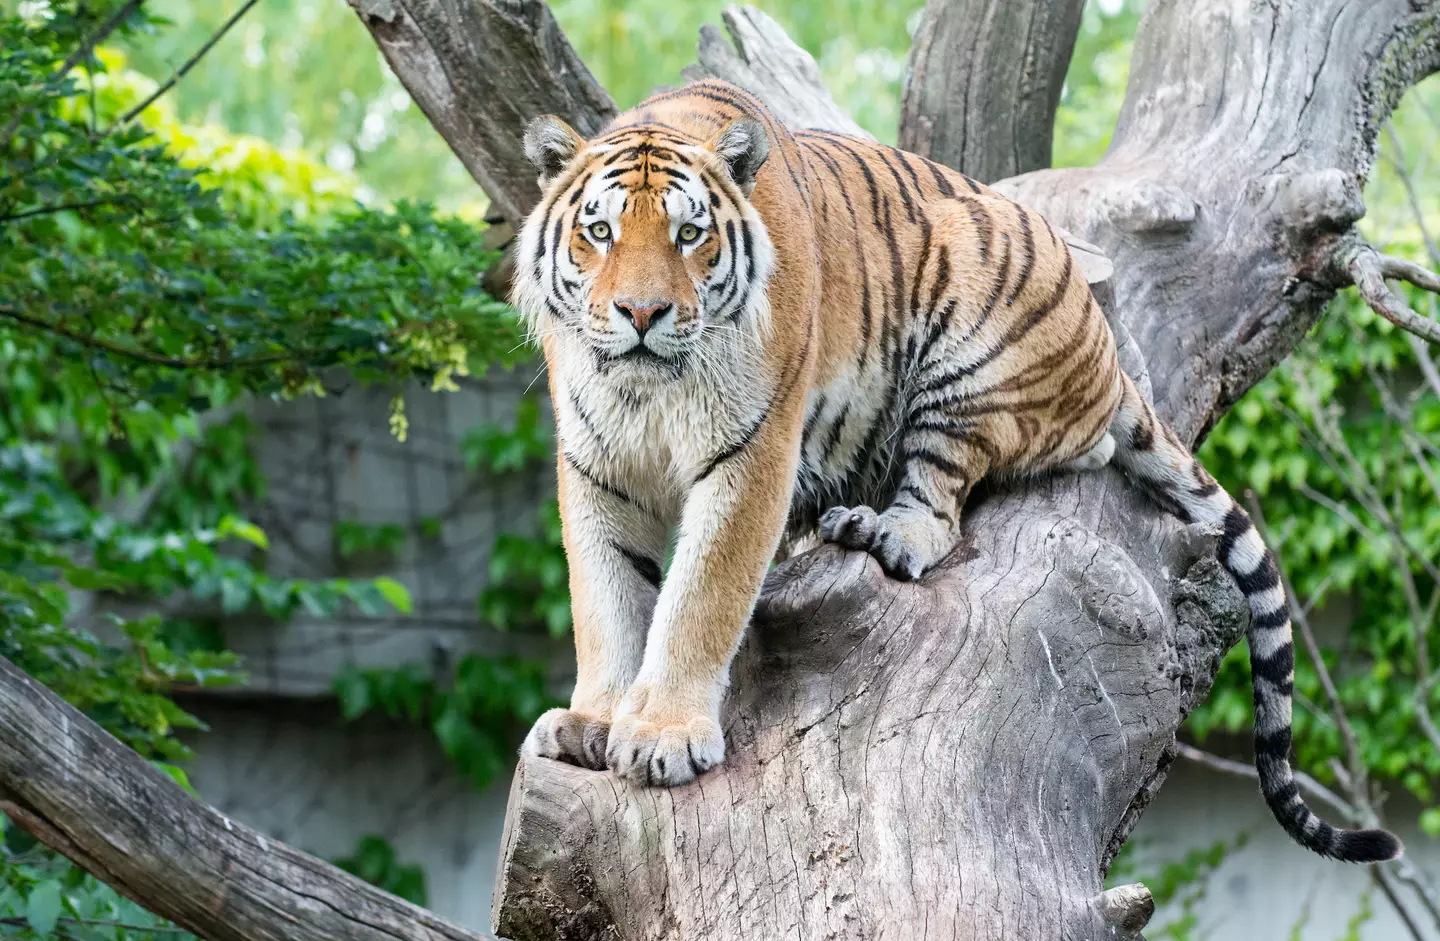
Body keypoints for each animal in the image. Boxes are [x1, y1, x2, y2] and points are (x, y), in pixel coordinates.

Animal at [511, 77, 1401, 863]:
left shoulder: (752, 456)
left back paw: (882, 530)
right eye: (600, 232)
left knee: (949, 498)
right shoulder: (594, 468)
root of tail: (1111, 360)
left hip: (968, 335)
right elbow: (607, 597)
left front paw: (663, 735)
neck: (645, 391)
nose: (641, 313)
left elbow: (700, 596)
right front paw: (594, 722)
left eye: (690, 236)